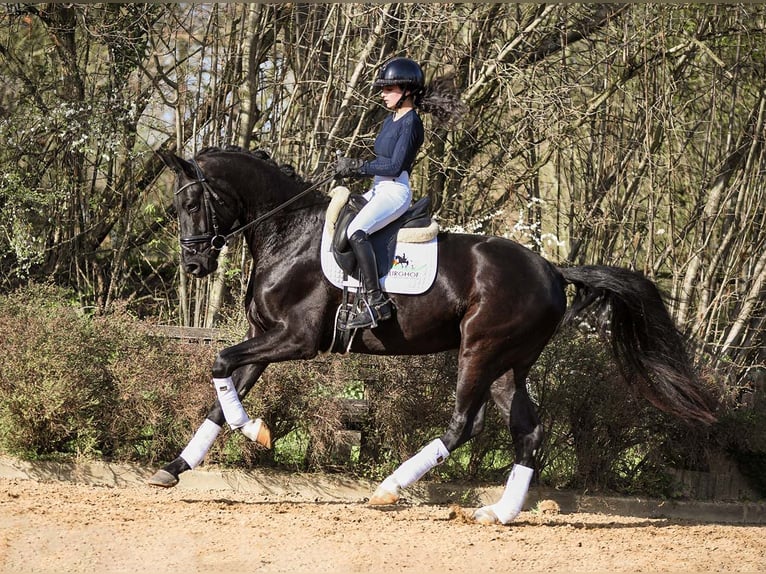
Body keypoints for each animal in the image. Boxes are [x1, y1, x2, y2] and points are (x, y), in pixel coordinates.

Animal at [150, 147, 712, 528]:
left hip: (479, 351)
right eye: (177, 207)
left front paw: (256, 431)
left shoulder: (296, 339)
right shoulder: (264, 337)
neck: (289, 234)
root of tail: (552, 269)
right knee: (529, 432)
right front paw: (176, 466)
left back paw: (389, 487)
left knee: (465, 424)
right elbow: (223, 392)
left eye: (194, 203)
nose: (195, 264)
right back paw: (498, 513)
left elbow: (221, 365)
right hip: (508, 362)